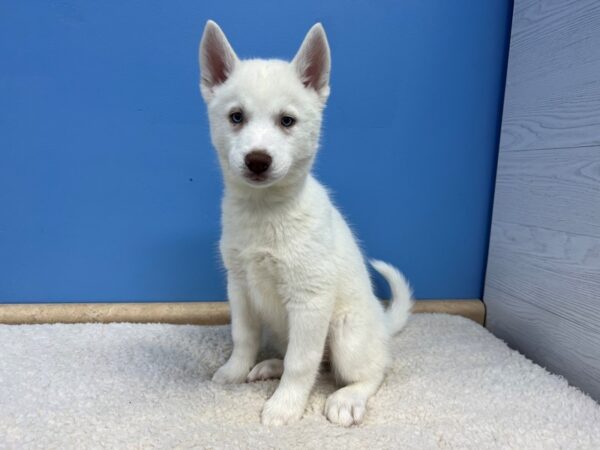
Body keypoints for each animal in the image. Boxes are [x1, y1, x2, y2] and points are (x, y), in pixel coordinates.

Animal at [200, 21, 412, 428]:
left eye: (287, 121)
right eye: (236, 117)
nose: (257, 160)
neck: (265, 211)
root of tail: (382, 323)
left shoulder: (310, 300)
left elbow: (302, 363)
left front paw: (285, 407)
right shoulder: (240, 287)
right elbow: (243, 337)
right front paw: (234, 372)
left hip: (346, 333)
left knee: (370, 371)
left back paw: (348, 399)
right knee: (310, 362)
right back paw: (269, 366)